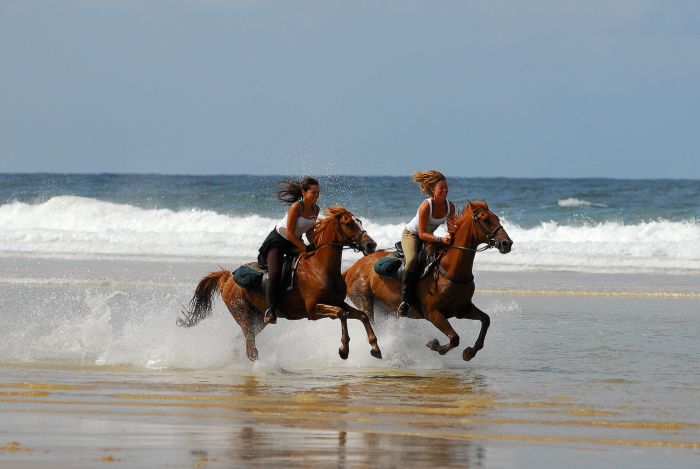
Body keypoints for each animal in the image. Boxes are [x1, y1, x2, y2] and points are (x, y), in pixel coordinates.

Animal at [176, 206, 382, 362]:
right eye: (349, 223)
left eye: (360, 222)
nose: (371, 245)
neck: (320, 267)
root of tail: (228, 278)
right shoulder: (313, 309)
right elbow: (341, 314)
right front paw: (344, 349)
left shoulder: (337, 302)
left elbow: (361, 315)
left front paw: (375, 348)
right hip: (243, 315)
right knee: (251, 349)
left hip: (258, 320)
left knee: (242, 343)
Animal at [346, 199, 516, 360]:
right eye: (485, 220)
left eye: (497, 218)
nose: (507, 243)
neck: (450, 269)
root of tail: (351, 269)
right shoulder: (433, 314)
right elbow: (454, 338)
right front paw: (434, 345)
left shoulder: (463, 309)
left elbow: (486, 320)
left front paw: (469, 353)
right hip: (366, 302)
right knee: (374, 325)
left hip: (386, 310)